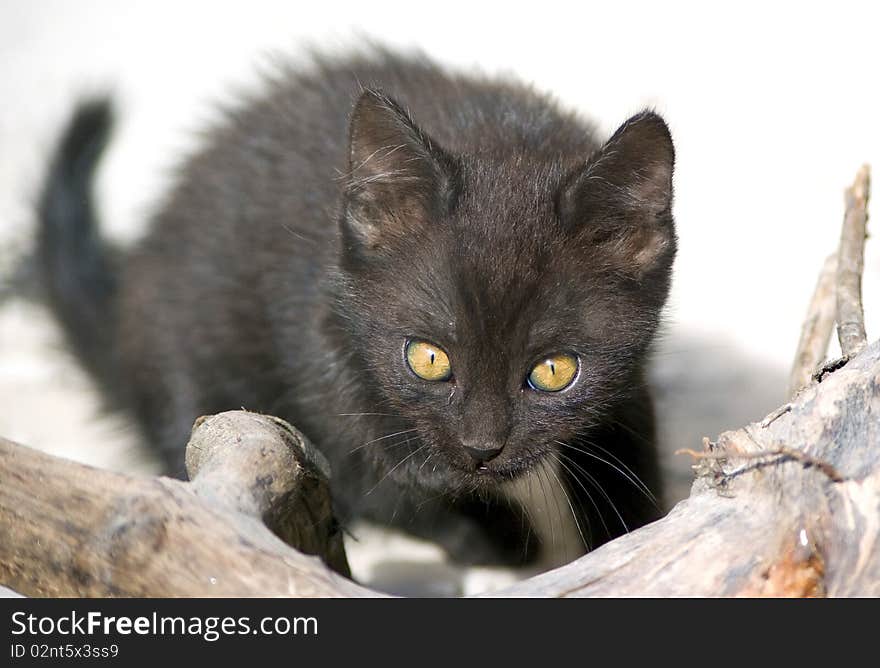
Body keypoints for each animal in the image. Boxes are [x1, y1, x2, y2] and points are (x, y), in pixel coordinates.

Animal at [37, 48, 672, 568]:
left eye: (554, 371)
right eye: (428, 359)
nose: (480, 448)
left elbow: (626, 442)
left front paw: (629, 525)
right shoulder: (318, 316)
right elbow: (367, 445)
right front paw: (481, 518)